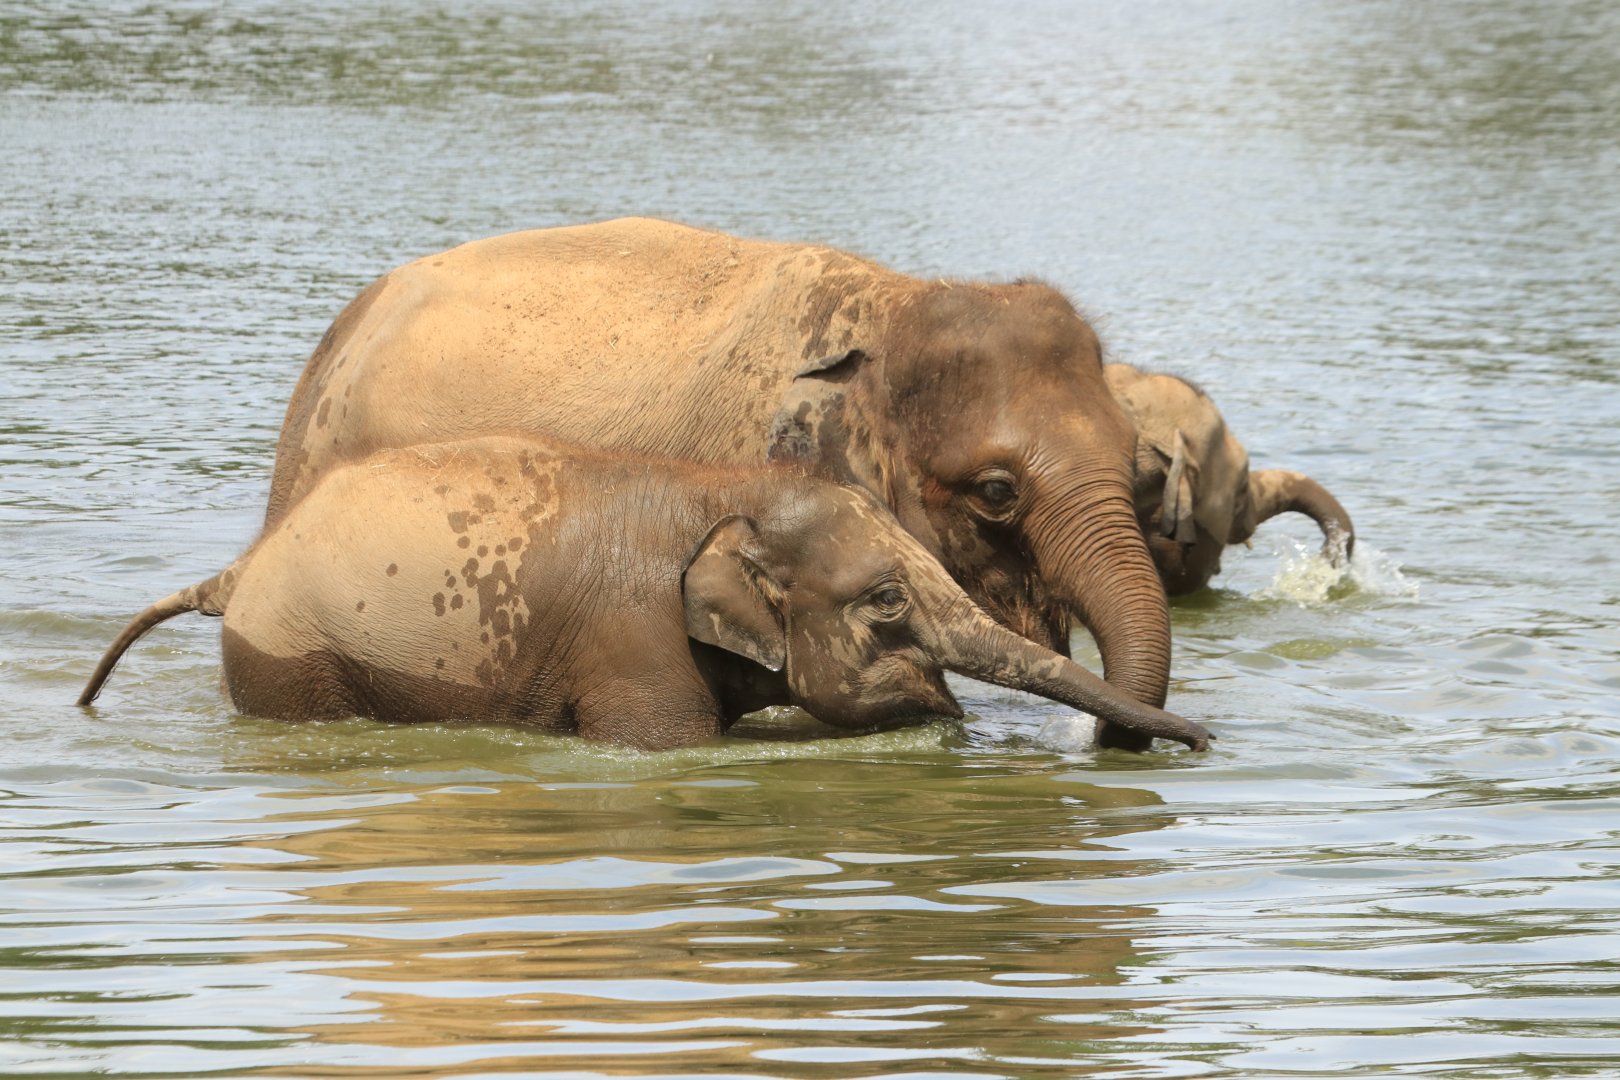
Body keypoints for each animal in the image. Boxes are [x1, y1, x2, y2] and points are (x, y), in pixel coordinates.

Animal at [79, 436, 1213, 752]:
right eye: (887, 600)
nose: (1206, 741)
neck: (719, 491)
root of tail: (239, 566)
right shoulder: (633, 645)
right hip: (294, 661)